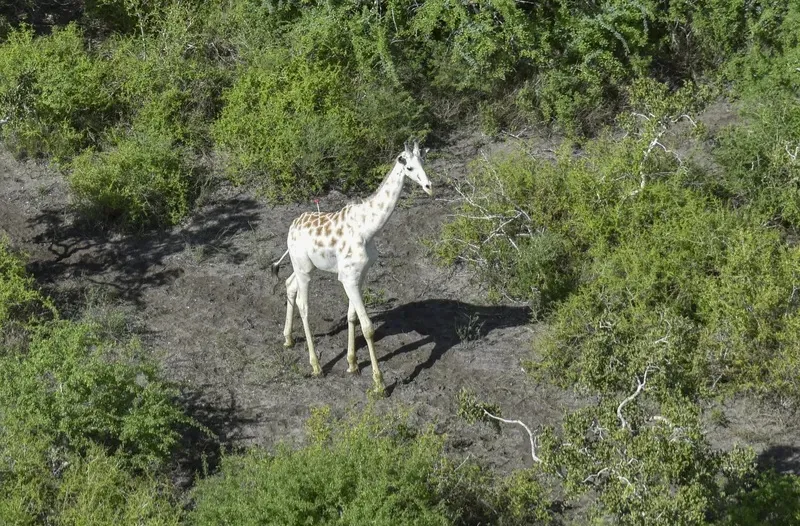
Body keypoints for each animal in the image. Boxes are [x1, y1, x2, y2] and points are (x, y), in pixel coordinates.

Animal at [270, 141, 432, 395]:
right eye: (409, 167)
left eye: (424, 162)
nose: (429, 187)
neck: (368, 228)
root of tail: (291, 227)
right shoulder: (348, 277)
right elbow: (367, 327)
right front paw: (379, 383)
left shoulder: (359, 275)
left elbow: (351, 317)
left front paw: (353, 364)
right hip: (304, 269)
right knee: (304, 306)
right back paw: (316, 366)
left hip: (304, 266)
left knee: (289, 284)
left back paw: (288, 339)